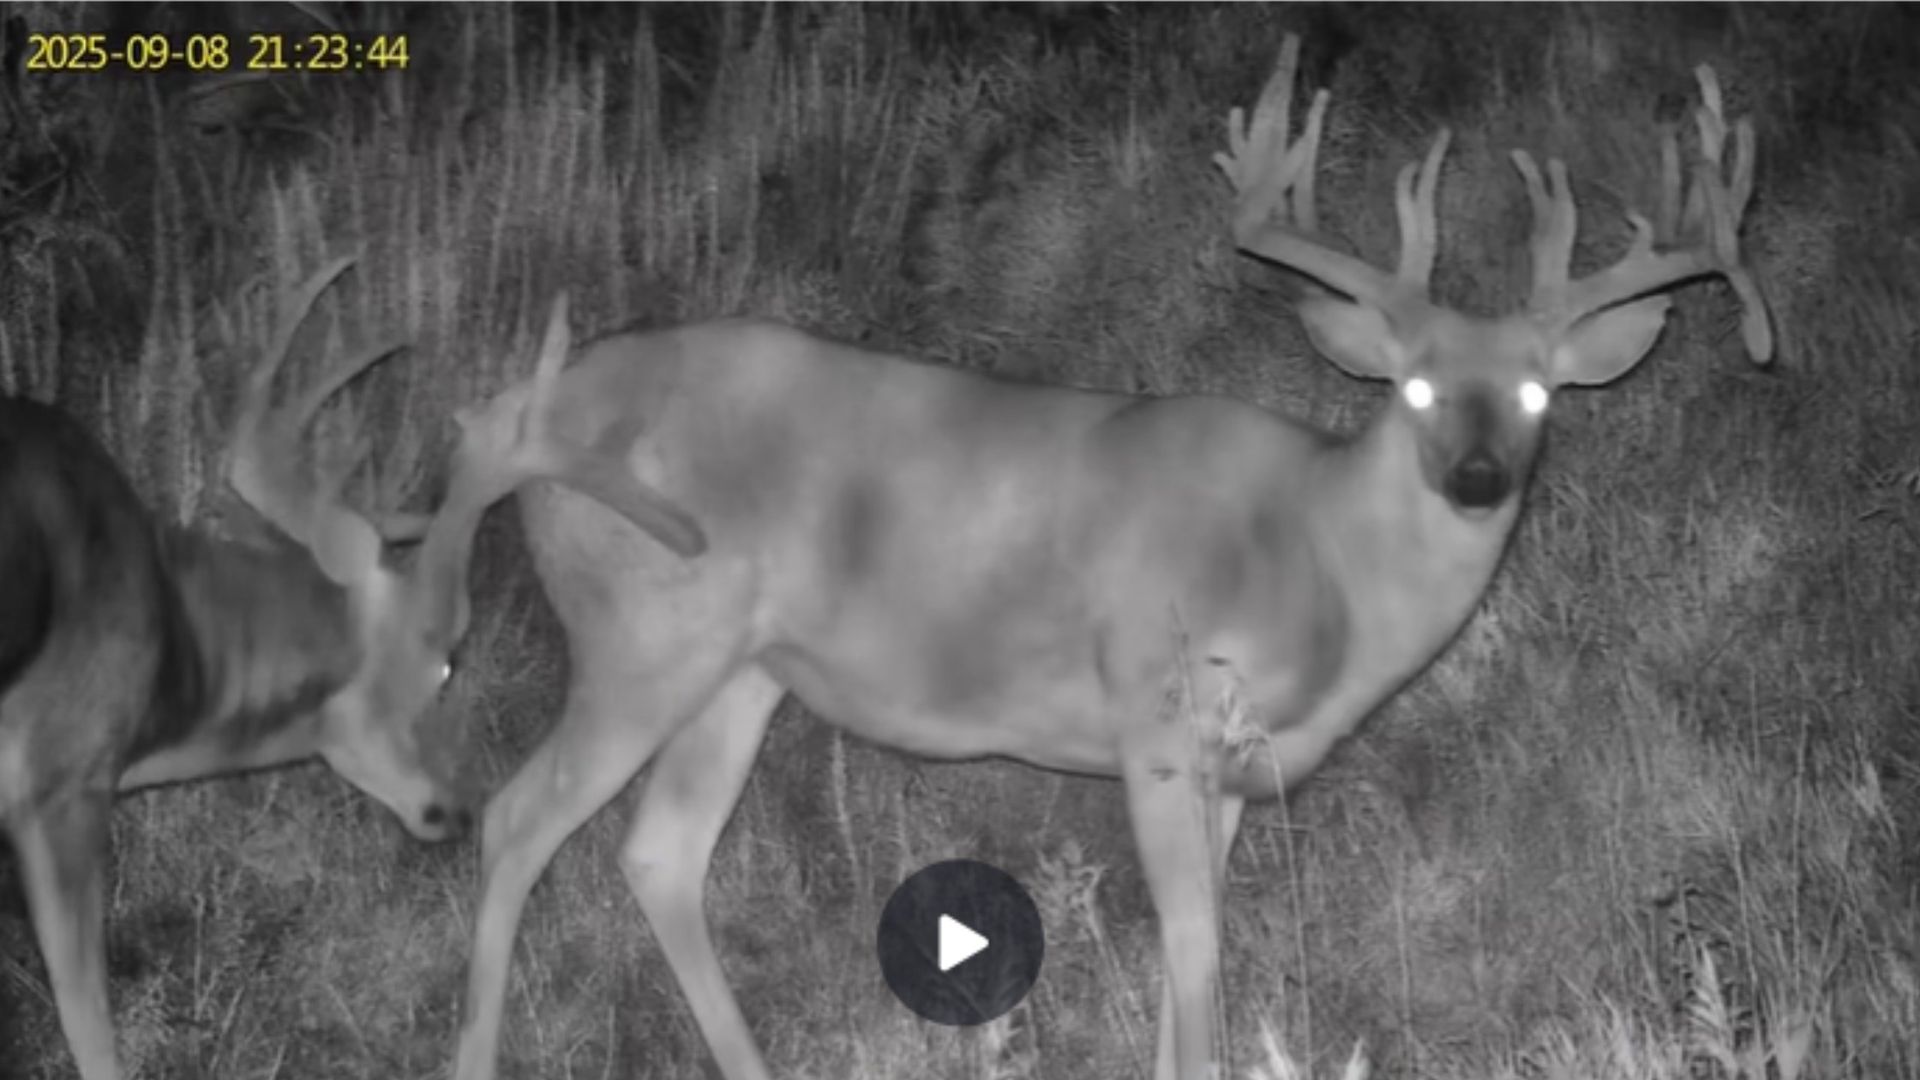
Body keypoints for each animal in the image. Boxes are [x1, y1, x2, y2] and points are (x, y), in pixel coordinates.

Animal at [442, 35, 1773, 1080]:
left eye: (1541, 391)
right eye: (1417, 386)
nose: (1480, 478)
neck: (1320, 560)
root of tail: (512, 416)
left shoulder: (1236, 773)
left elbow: (1201, 943)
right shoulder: (1155, 712)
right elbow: (1192, 946)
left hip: (741, 673)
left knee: (659, 853)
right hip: (640, 628)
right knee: (513, 819)